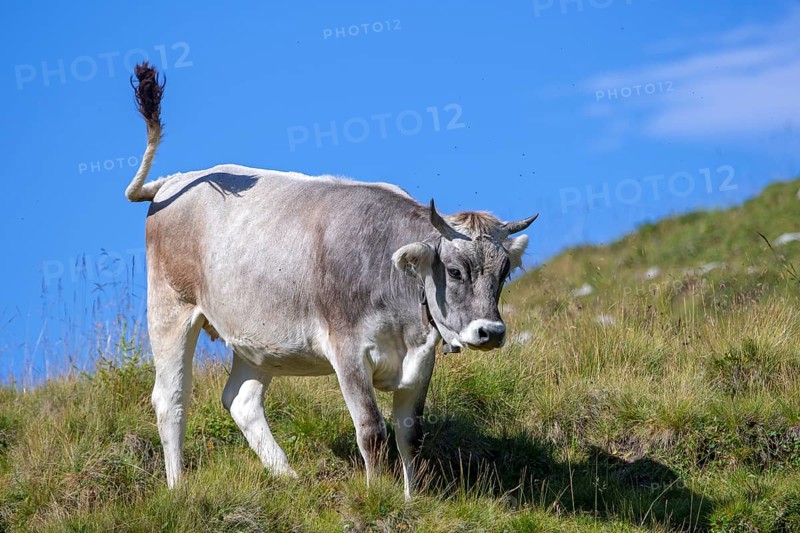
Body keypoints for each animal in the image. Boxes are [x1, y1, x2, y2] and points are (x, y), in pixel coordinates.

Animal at [125, 63, 537, 499]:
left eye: (504, 272)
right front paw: (377, 496)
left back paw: (288, 478)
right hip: (170, 309)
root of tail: (178, 179)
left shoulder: (420, 360)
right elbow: (371, 430)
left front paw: (412, 499)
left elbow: (411, 435)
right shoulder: (348, 349)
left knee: (241, 400)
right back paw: (178, 487)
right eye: (455, 270)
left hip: (257, 337)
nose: (490, 332)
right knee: (171, 399)